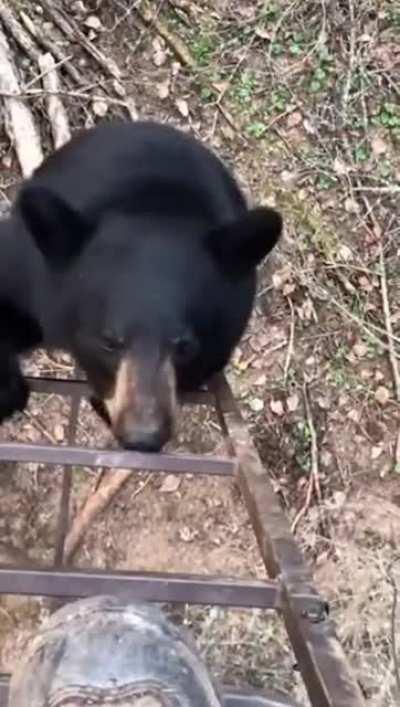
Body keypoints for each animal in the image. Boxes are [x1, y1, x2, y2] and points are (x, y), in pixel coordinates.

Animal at [10, 120, 282, 451]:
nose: (143, 438)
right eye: (109, 341)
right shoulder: (33, 279)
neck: (153, 207)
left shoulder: (220, 342)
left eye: (185, 346)